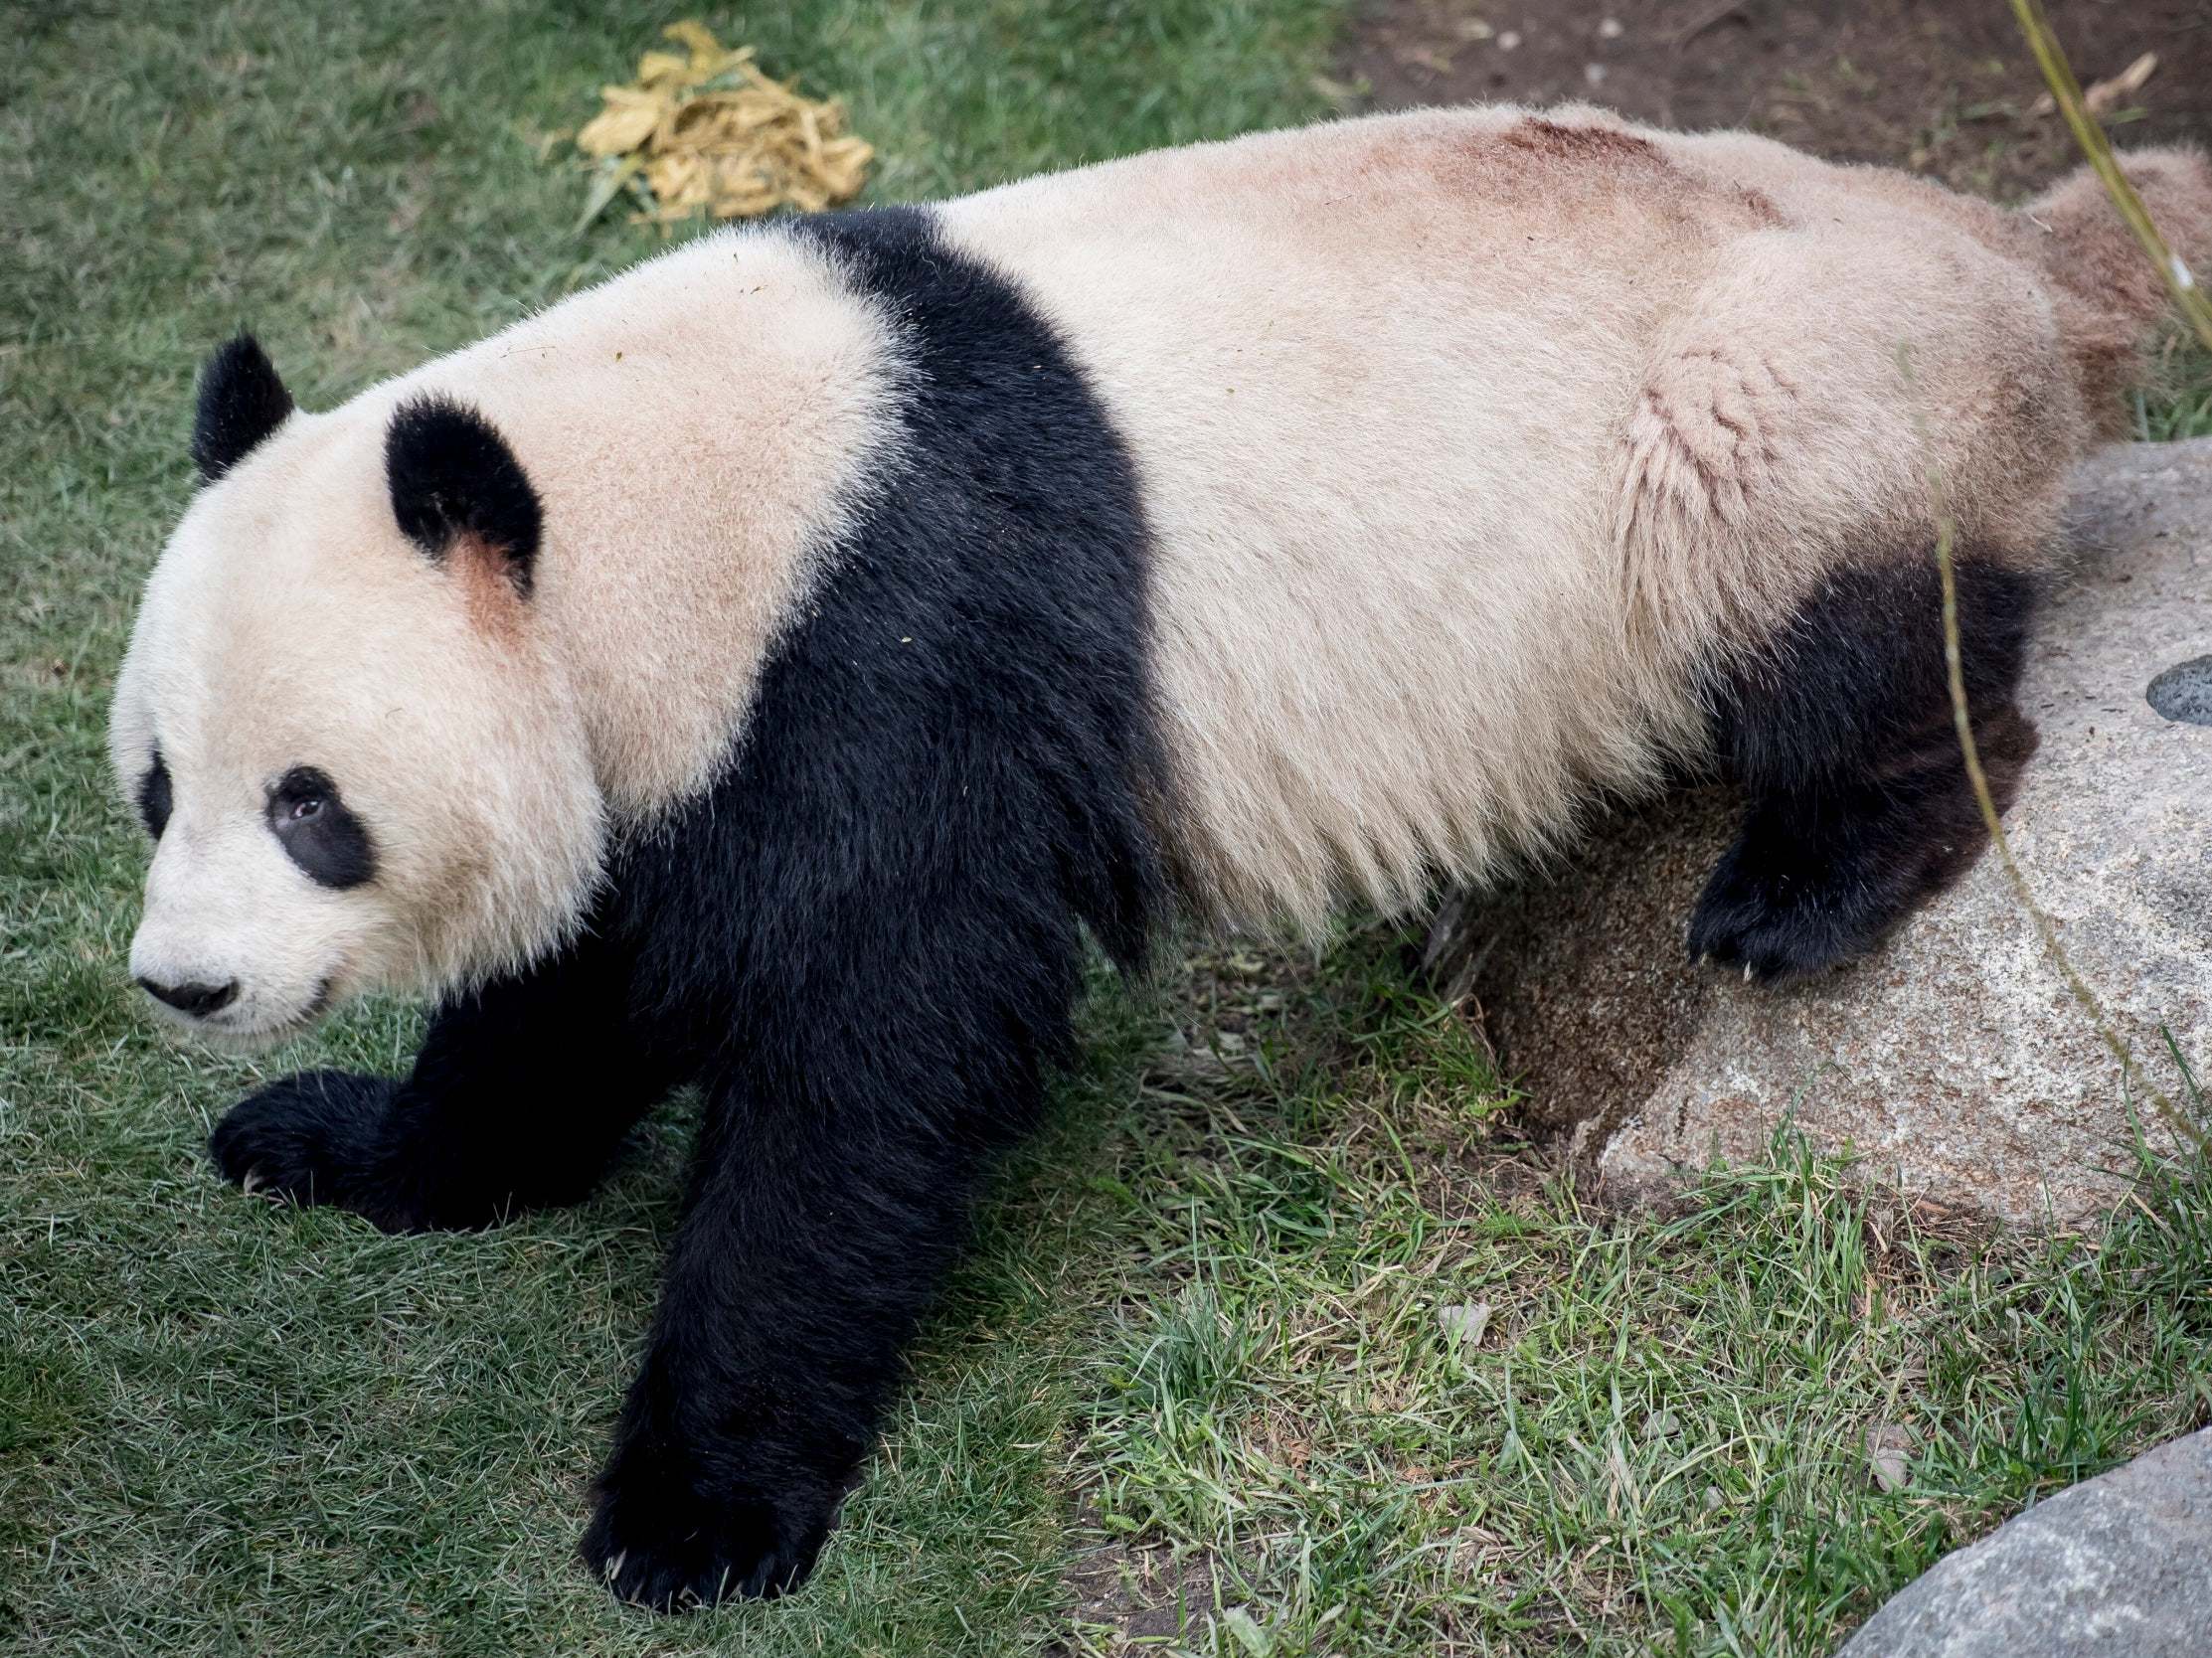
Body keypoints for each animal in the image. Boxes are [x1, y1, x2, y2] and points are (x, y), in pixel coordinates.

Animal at [107, 106, 2212, 1609]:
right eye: (156, 785)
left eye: (313, 803)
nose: (186, 985)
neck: (693, 487)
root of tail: (2010, 252)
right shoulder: (704, 731)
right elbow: (584, 981)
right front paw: (342, 1142)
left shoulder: (900, 647)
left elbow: (872, 1055)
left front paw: (693, 1509)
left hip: (1788, 395)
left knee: (1844, 608)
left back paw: (1809, 882)